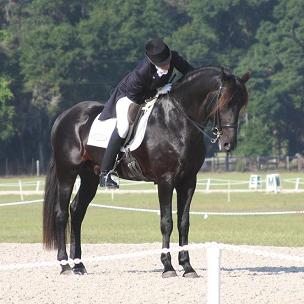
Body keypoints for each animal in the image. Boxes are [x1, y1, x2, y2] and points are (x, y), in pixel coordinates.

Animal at [42, 66, 249, 278]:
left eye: (240, 104)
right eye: (225, 101)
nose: (228, 144)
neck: (176, 121)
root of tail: (64, 116)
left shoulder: (188, 182)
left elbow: (184, 222)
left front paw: (187, 267)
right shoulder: (166, 181)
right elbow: (167, 222)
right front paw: (168, 267)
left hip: (90, 177)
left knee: (77, 211)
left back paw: (79, 265)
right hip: (67, 173)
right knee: (61, 214)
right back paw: (65, 266)